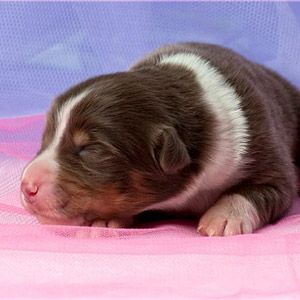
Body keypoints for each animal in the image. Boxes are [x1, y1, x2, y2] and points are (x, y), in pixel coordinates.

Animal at [19, 42, 298, 236]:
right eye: (46, 138)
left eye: (90, 148)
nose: (26, 186)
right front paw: (108, 218)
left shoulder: (268, 152)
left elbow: (259, 190)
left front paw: (225, 216)